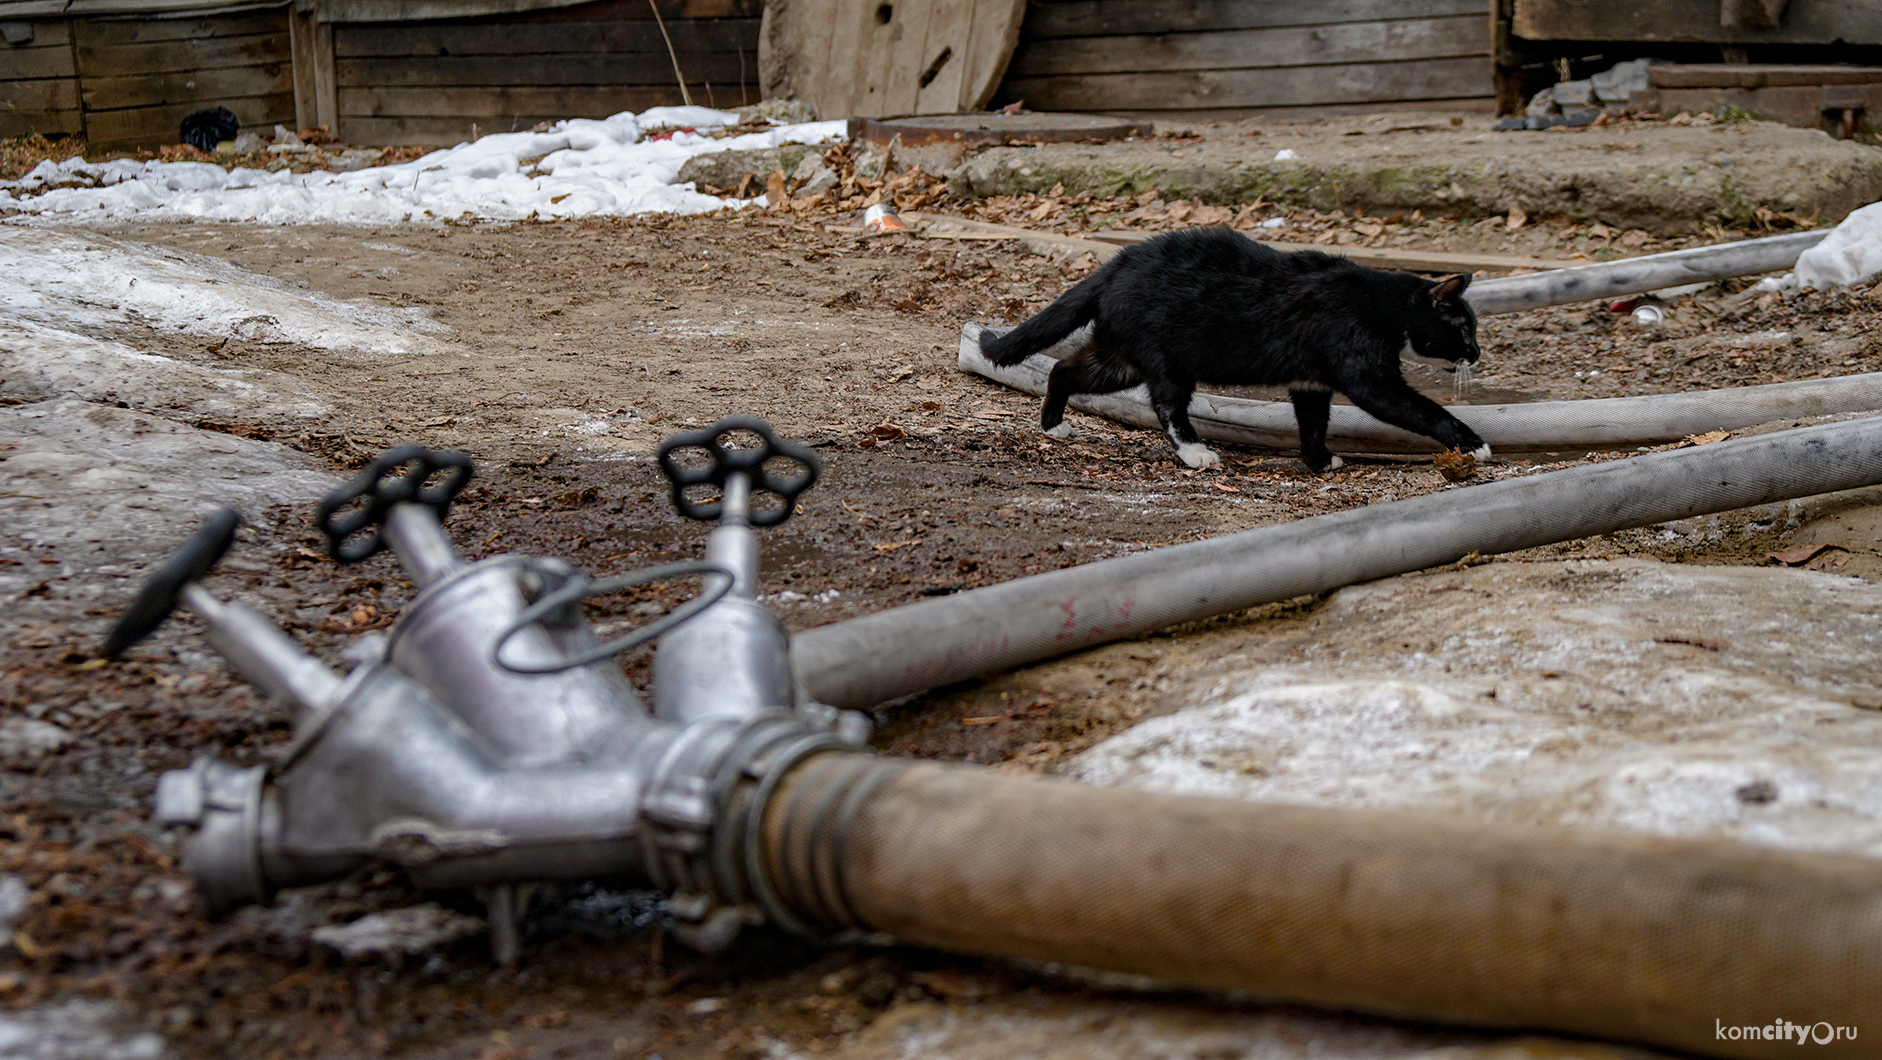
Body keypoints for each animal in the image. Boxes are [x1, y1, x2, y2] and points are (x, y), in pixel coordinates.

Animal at [978, 231, 1490, 472]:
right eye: (1464, 328)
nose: (1478, 352)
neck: (1382, 305)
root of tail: (1117, 262)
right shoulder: (1370, 378)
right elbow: (1422, 409)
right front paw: (1473, 442)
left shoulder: (1310, 383)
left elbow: (1313, 424)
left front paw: (1319, 460)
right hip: (1165, 357)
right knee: (1167, 405)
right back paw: (1194, 452)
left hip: (1118, 357)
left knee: (1062, 369)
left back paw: (1053, 425)